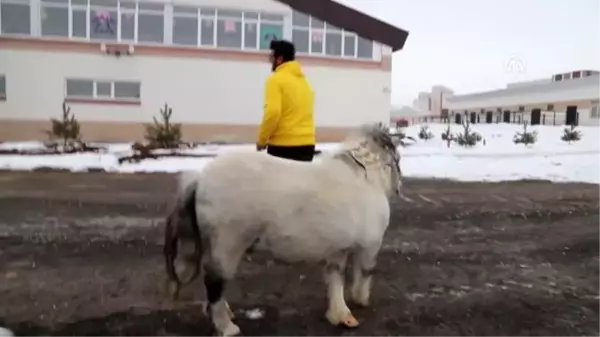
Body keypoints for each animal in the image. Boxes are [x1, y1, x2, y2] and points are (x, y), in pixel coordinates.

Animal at [164, 122, 404, 334]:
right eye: (396, 159)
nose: (400, 186)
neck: (365, 177)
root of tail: (200, 179)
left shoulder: (337, 250)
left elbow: (335, 281)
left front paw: (340, 315)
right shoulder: (370, 246)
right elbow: (364, 273)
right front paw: (360, 300)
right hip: (227, 246)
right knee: (214, 282)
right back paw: (227, 327)